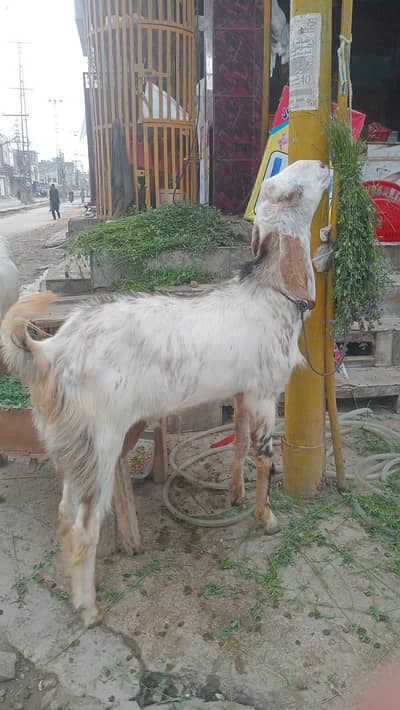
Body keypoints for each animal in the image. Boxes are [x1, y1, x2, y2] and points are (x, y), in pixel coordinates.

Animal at [1, 160, 330, 627]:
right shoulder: (266, 390)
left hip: (73, 444)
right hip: (100, 439)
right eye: (295, 187)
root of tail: (53, 349)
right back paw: (89, 608)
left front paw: (236, 495)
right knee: (85, 522)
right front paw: (266, 518)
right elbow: (265, 455)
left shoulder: (242, 389)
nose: (325, 165)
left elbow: (239, 443)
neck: (272, 292)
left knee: (65, 514)